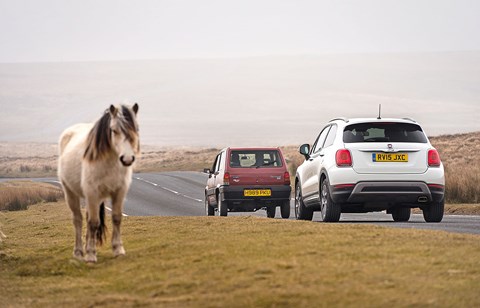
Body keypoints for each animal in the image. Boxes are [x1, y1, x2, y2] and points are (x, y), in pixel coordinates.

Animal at [58, 103, 140, 262]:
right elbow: (94, 223)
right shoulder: (92, 193)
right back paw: (79, 252)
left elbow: (116, 218)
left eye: (136, 129)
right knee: (78, 220)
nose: (127, 159)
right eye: (114, 130)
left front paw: (118, 249)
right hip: (71, 193)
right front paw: (90, 255)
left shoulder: (119, 191)